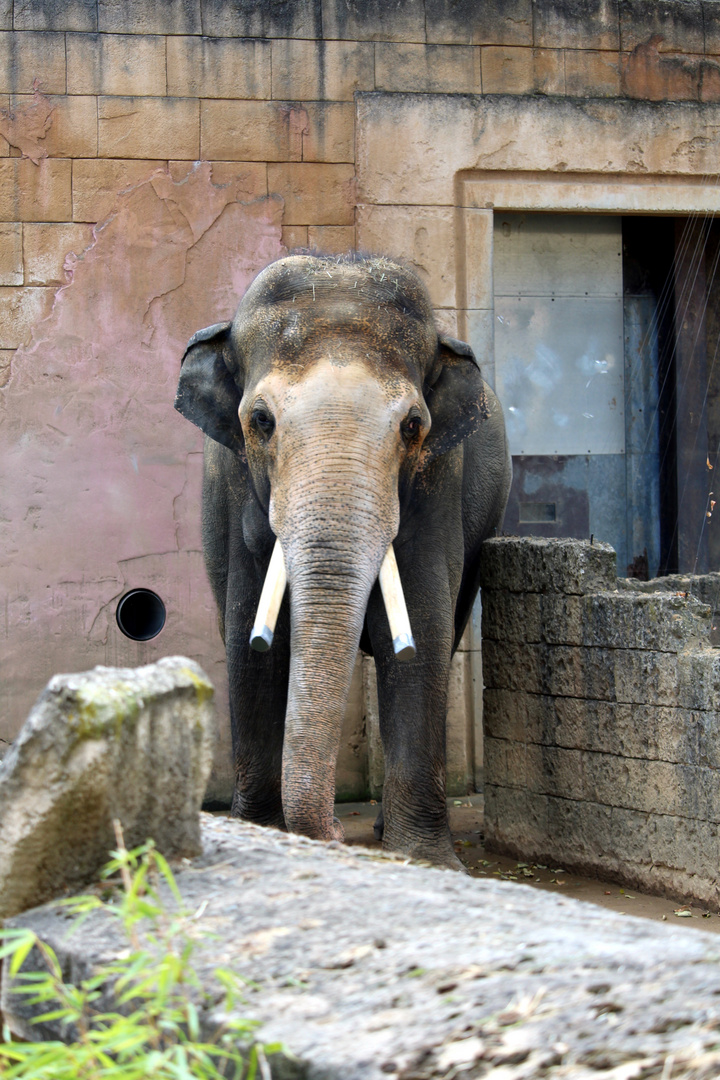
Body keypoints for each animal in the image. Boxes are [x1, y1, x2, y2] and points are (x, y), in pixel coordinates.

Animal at [174, 252, 511, 868]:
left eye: (413, 426)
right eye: (260, 421)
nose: (332, 830)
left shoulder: (438, 481)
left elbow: (422, 629)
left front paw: (425, 860)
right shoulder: (234, 486)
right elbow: (248, 639)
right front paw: (264, 833)